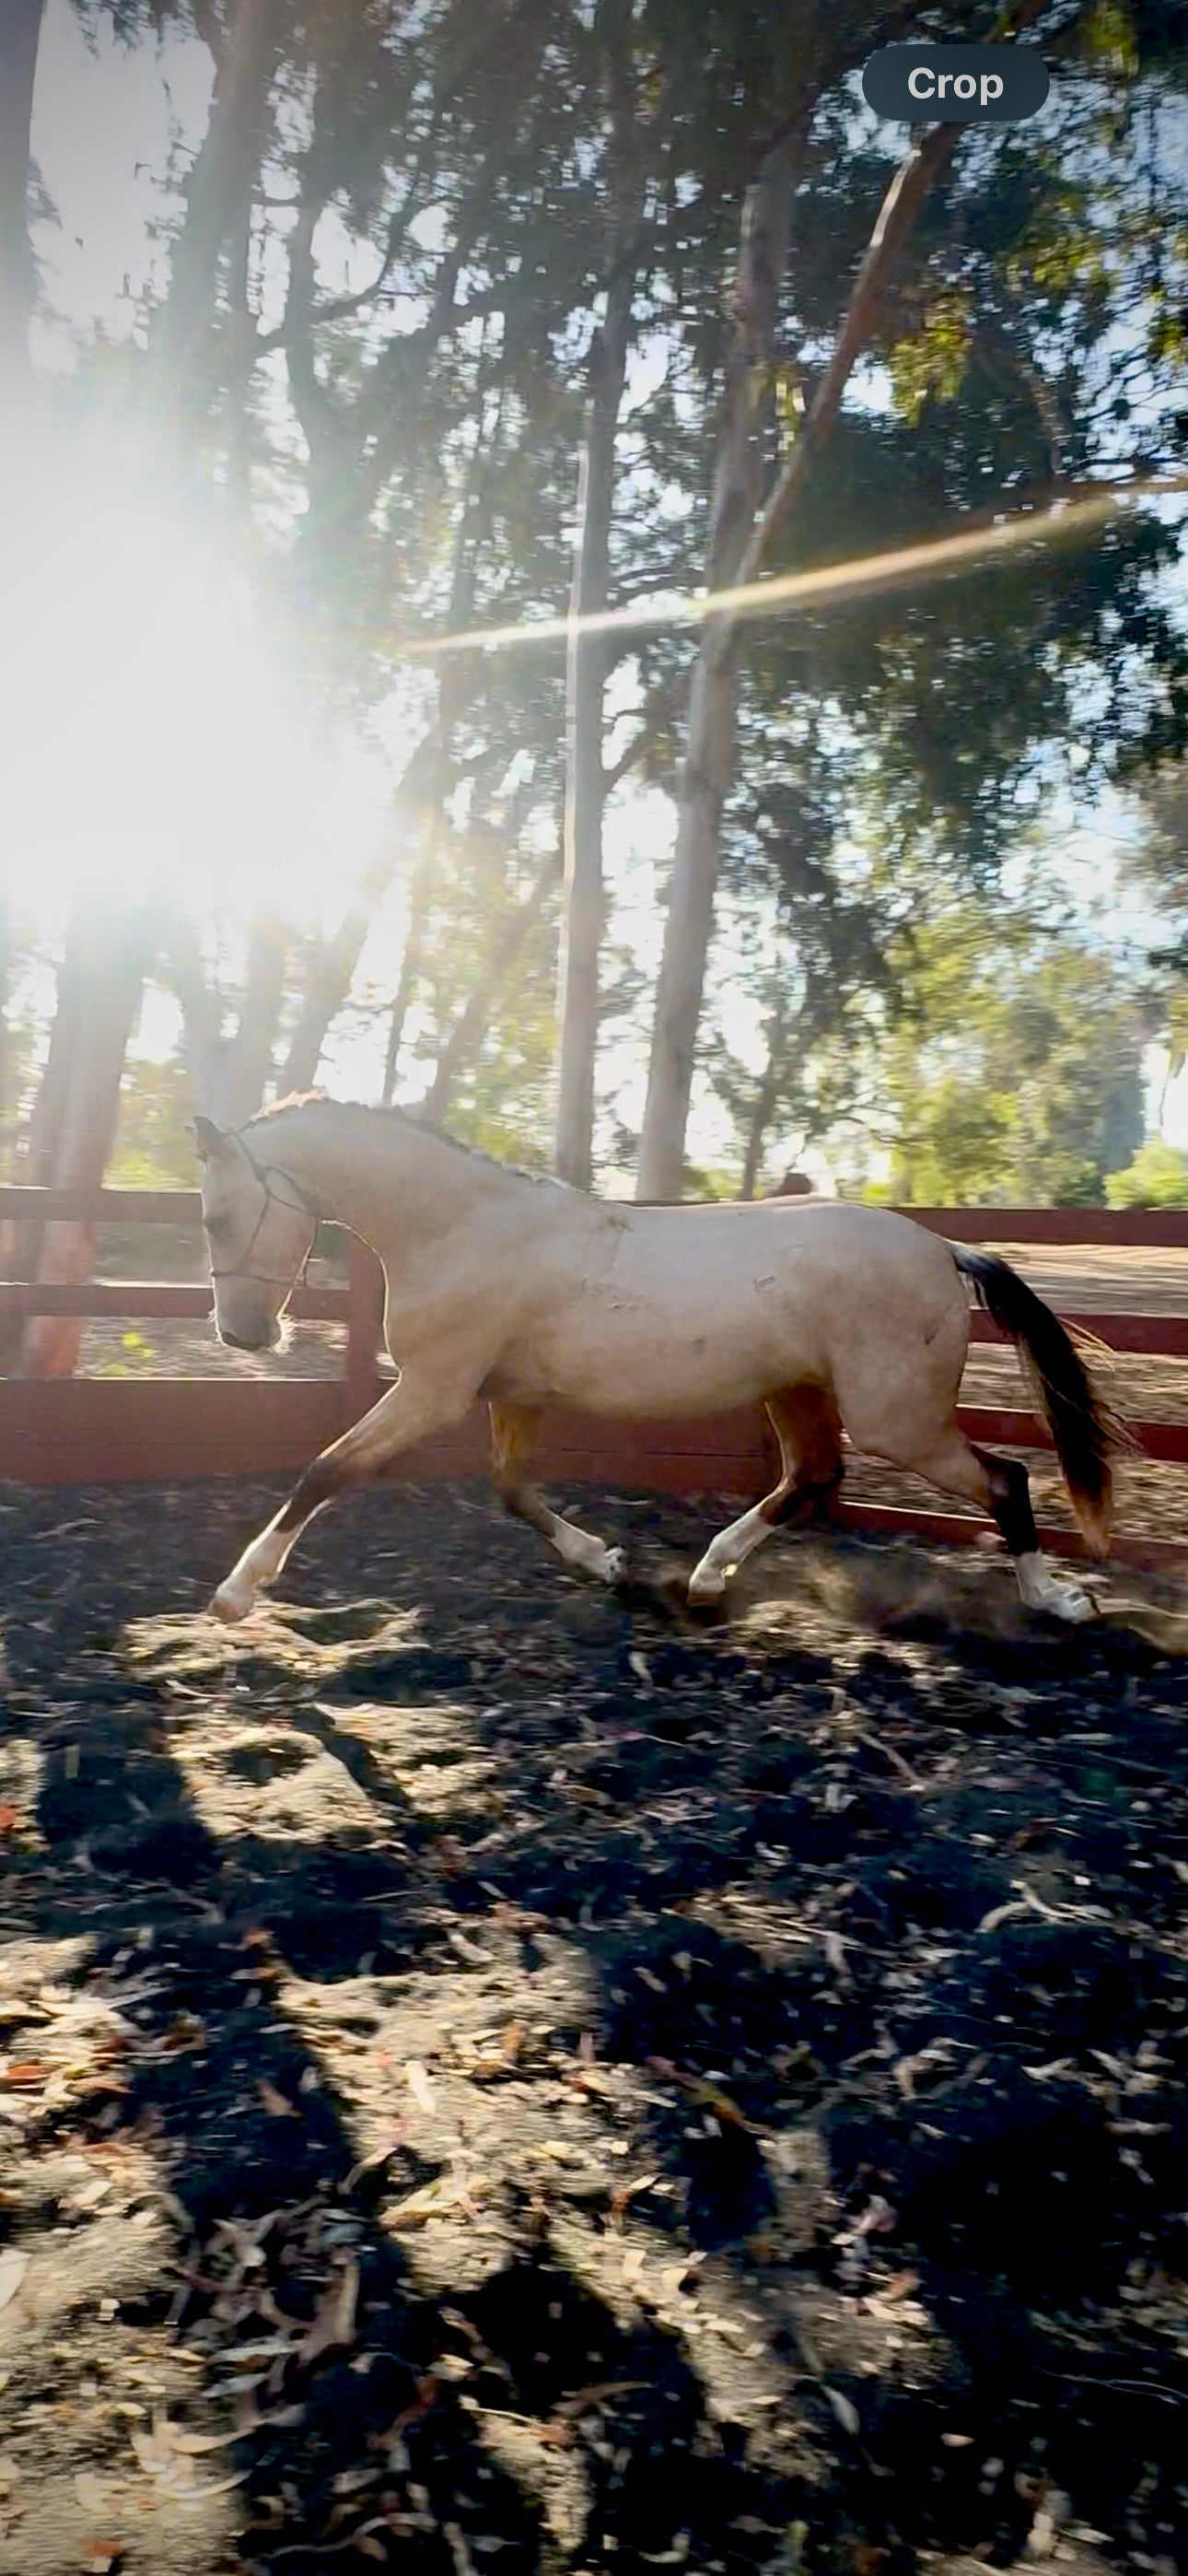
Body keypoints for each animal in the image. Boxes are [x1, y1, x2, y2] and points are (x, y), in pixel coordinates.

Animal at [194, 1095, 1119, 1628]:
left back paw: (1059, 1601)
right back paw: (705, 1579)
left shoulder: (432, 1391)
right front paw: (605, 1562)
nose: (242, 1336)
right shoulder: (510, 1396)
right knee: (813, 1477)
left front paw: (237, 1593)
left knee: (1003, 1480)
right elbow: (512, 1491)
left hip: (900, 1420)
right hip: (798, 1390)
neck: (461, 1227)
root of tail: (943, 1249)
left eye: (213, 1216)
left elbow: (326, 1470)